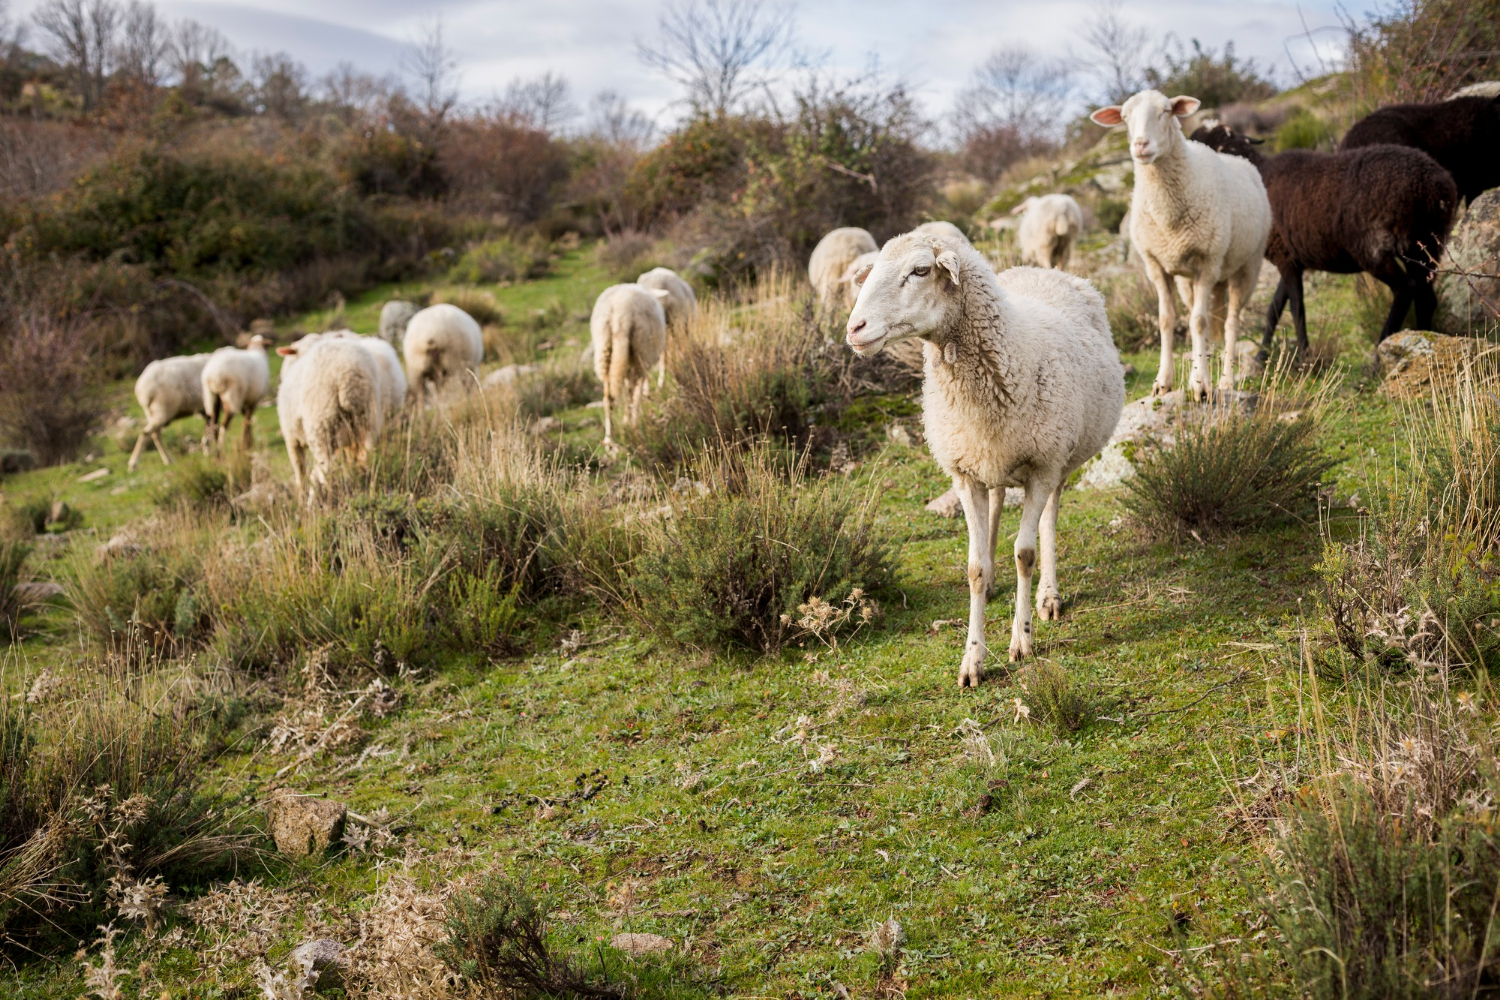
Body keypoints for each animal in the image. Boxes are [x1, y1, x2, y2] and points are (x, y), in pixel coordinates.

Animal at [275, 334, 382, 502]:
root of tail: (348, 374)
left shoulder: (291, 438)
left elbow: (300, 471)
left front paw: (301, 498)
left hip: (321, 423)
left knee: (324, 470)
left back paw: (318, 501)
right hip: (368, 418)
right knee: (366, 456)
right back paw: (366, 488)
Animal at [590, 283, 669, 446]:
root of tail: (621, 311)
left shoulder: (625, 364)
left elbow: (628, 391)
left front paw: (625, 420)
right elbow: (632, 392)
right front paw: (628, 420)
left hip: (604, 348)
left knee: (608, 398)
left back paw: (609, 438)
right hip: (642, 350)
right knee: (637, 394)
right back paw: (636, 429)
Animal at [845, 233, 1124, 686]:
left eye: (920, 270)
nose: (854, 329)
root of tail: (1040, 269)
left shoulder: (1042, 467)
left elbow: (1025, 554)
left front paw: (1021, 640)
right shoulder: (964, 473)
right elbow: (973, 567)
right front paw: (972, 657)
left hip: (1060, 460)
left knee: (1049, 519)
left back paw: (1048, 595)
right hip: (991, 459)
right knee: (996, 501)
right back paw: (995, 579)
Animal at [1091, 90, 1271, 399]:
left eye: (1166, 111)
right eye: (1124, 117)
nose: (1140, 145)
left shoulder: (1208, 262)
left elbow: (1198, 322)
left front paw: (1200, 385)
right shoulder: (1156, 266)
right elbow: (1168, 319)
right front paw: (1164, 381)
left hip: (1247, 265)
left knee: (1231, 321)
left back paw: (1225, 380)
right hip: (1192, 280)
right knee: (1206, 317)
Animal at [1191, 123, 1458, 351]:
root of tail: (1431, 184)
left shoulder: (1285, 258)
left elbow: (1297, 309)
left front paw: (1303, 356)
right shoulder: (1292, 258)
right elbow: (1275, 308)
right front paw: (1262, 355)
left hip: (1374, 248)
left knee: (1405, 289)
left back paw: (1378, 354)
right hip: (1426, 243)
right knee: (1426, 297)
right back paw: (1425, 339)